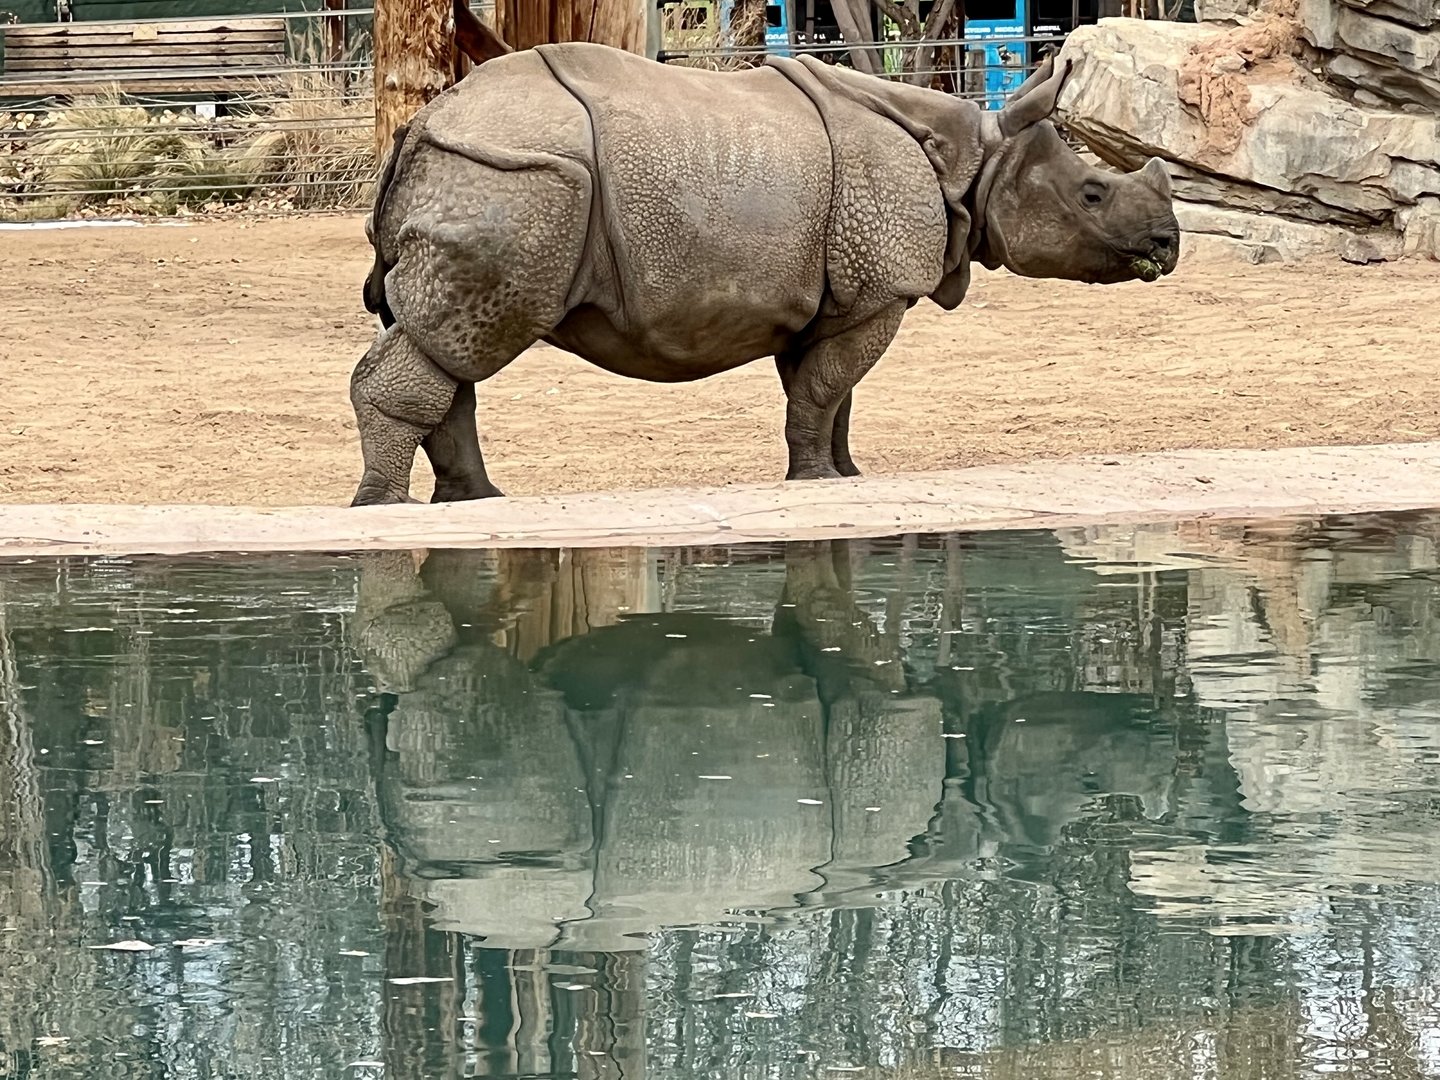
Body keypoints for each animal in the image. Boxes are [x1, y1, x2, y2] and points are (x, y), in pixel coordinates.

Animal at [352, 43, 1179, 506]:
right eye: (1092, 194)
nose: (1167, 244)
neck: (973, 159)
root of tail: (420, 127)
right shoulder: (882, 287)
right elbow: (822, 390)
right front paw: (816, 484)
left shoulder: (836, 293)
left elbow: (829, 392)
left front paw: (845, 475)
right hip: (514, 176)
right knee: (458, 342)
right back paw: (385, 510)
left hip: (485, 174)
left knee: (447, 346)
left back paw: (473, 503)